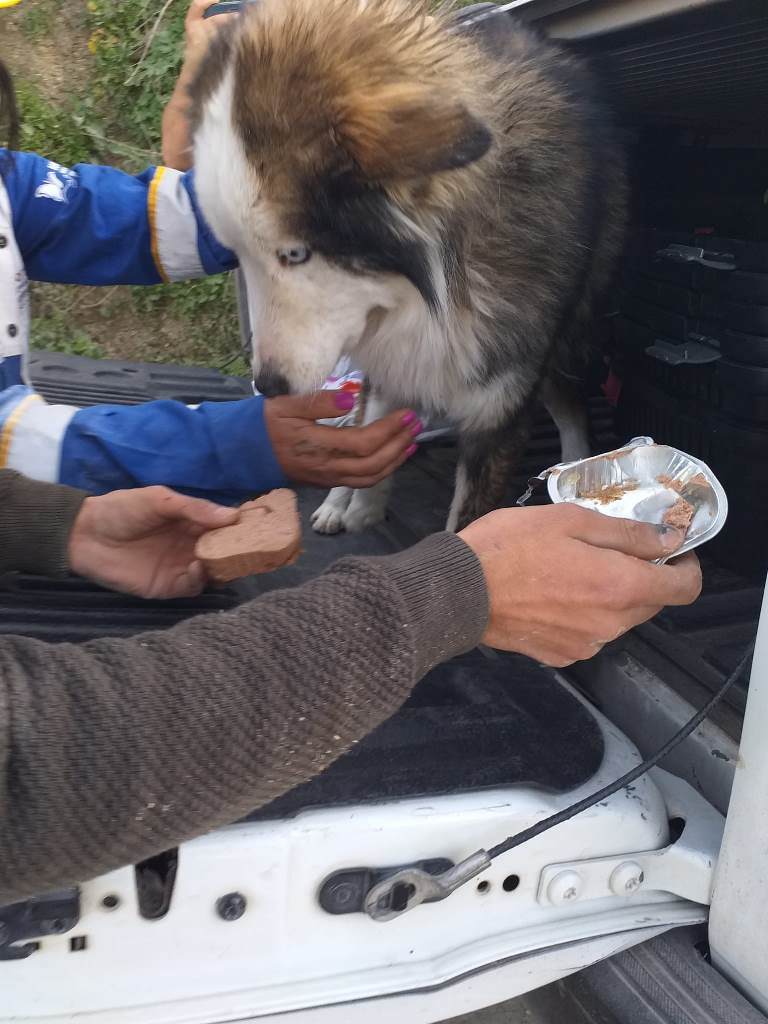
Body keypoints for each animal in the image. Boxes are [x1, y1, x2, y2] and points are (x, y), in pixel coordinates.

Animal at [189, 2, 626, 536]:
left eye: (295, 254)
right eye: (235, 252)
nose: (269, 390)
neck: (428, 287)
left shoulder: (498, 404)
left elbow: (468, 523)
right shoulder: (390, 354)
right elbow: (371, 420)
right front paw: (358, 502)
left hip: (563, 341)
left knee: (570, 405)